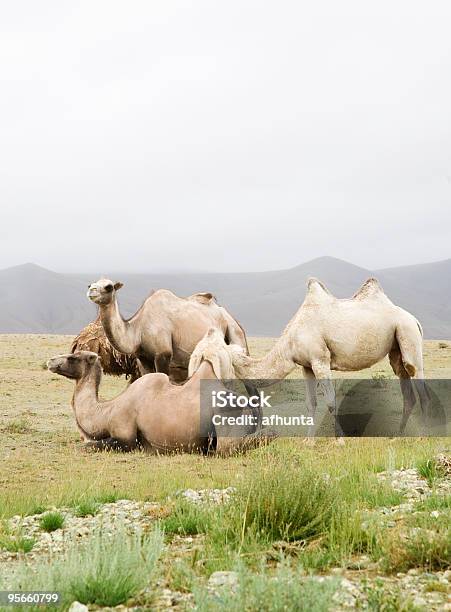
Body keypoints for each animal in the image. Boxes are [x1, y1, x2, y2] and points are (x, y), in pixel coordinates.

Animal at [87, 280, 251, 380]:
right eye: (90, 284)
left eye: (109, 286)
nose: (91, 291)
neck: (138, 329)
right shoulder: (143, 358)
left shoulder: (163, 354)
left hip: (236, 334)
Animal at [189, 280, 432, 438]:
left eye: (203, 353)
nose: (190, 375)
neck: (289, 342)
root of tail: (415, 319)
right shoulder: (306, 366)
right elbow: (310, 403)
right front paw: (308, 440)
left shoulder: (320, 359)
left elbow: (331, 401)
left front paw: (340, 440)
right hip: (396, 348)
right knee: (407, 390)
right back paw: (398, 435)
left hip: (408, 334)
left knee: (420, 387)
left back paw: (424, 435)